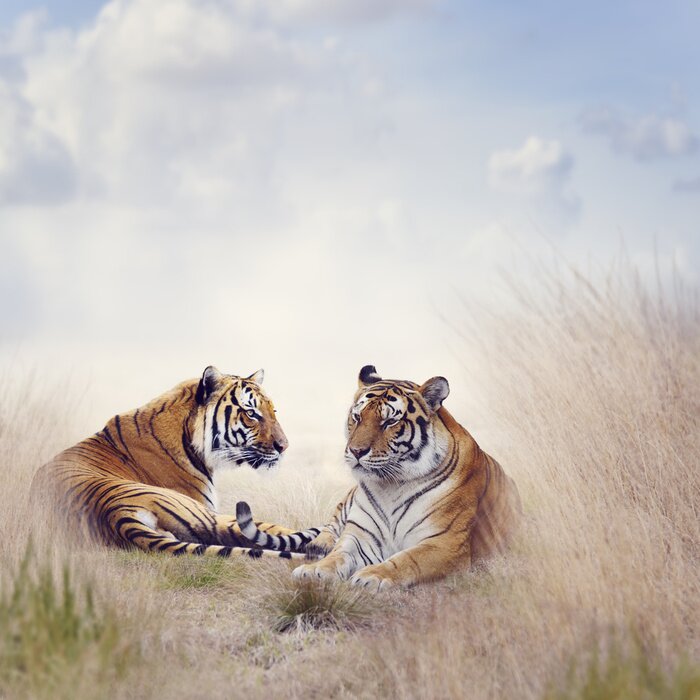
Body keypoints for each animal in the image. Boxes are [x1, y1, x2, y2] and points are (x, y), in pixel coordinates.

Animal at [236, 365, 522, 589]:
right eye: (357, 417)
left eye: (390, 422)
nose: (356, 451)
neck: (391, 485)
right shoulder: (360, 535)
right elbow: (339, 554)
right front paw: (315, 570)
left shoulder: (445, 543)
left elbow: (407, 559)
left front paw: (372, 576)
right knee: (330, 527)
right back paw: (318, 546)